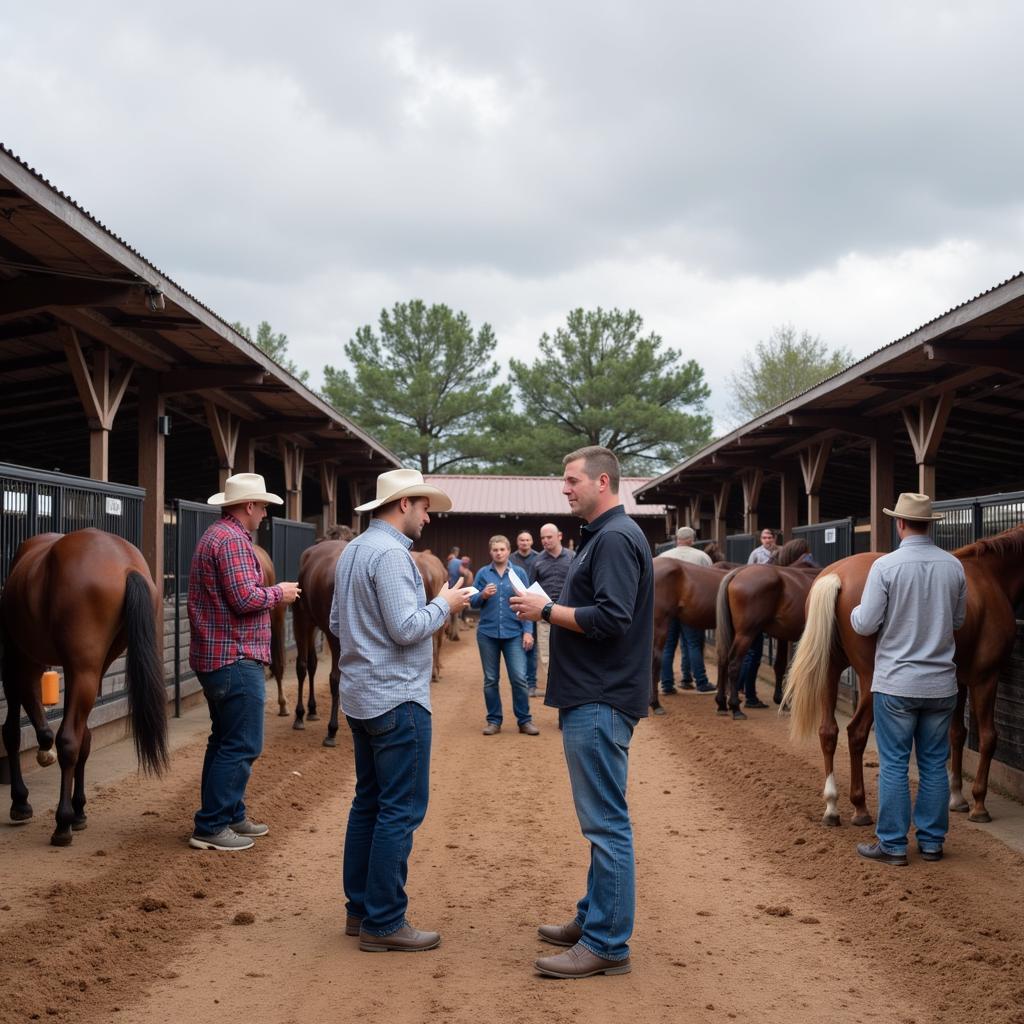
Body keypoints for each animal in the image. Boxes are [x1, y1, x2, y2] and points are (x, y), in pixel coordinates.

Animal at [0, 532, 166, 843]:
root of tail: (126, 566)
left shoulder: (16, 657)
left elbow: (12, 732)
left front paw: (20, 801)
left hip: (77, 668)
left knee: (68, 739)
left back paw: (62, 821)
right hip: (93, 669)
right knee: (82, 737)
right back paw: (77, 811)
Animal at [292, 540, 348, 749]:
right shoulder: (334, 637)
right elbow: (335, 679)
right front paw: (332, 730)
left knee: (312, 663)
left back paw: (312, 710)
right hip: (304, 621)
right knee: (303, 665)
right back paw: (300, 715)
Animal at [716, 536, 819, 720]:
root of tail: (737, 573)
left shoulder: (783, 636)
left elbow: (780, 665)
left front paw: (781, 700)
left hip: (733, 632)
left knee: (722, 659)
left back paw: (721, 703)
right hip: (745, 634)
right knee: (734, 662)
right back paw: (735, 707)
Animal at [782, 524, 1024, 827]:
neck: (989, 575)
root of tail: (836, 576)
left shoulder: (956, 680)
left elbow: (957, 733)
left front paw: (957, 798)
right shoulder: (985, 677)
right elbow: (989, 737)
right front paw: (979, 804)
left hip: (830, 672)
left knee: (829, 732)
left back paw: (832, 807)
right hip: (871, 682)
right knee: (856, 732)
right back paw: (860, 808)